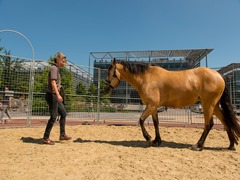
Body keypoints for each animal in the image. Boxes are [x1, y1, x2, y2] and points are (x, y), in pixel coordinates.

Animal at [104, 58, 240, 150]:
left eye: (110, 72)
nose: (105, 89)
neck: (147, 78)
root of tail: (219, 75)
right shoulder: (153, 107)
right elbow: (156, 123)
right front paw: (157, 141)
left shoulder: (151, 105)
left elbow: (141, 120)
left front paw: (149, 139)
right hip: (214, 105)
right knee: (225, 121)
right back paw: (231, 144)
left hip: (208, 105)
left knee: (209, 124)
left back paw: (198, 145)